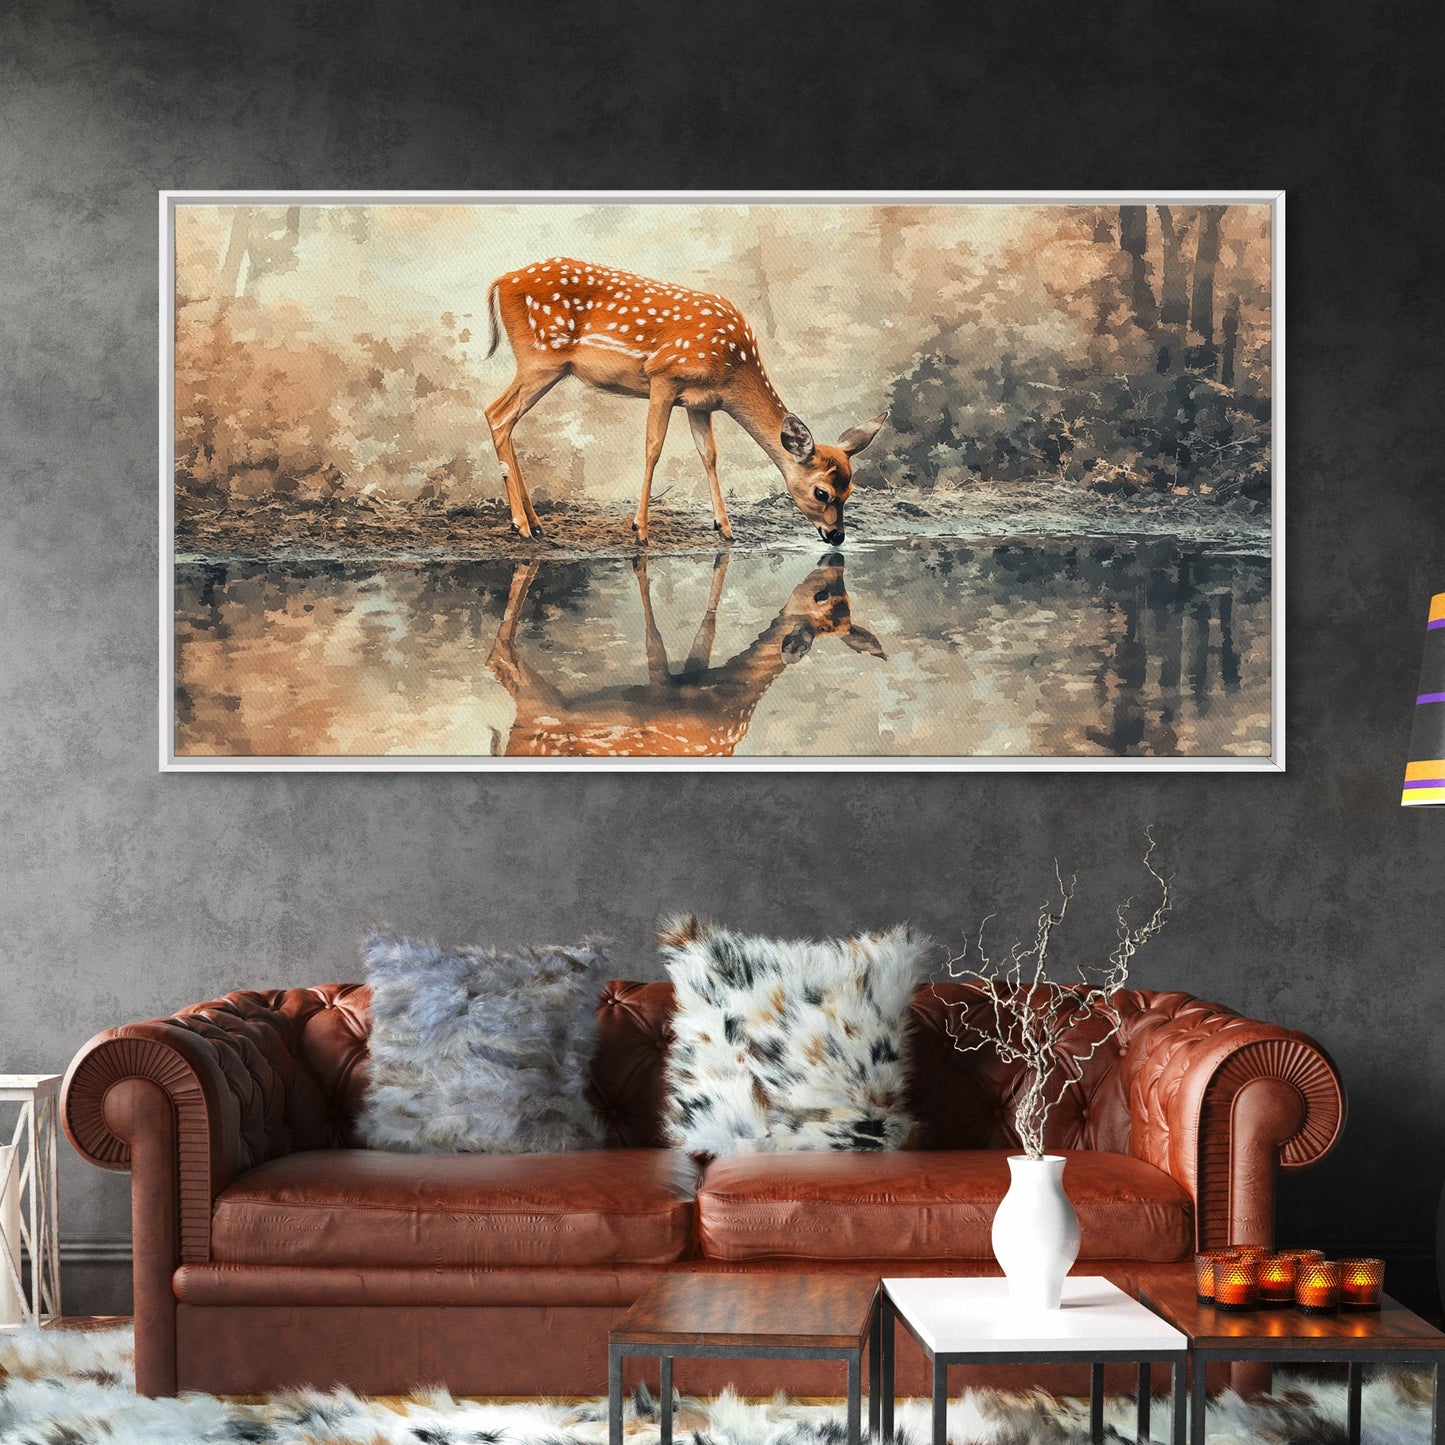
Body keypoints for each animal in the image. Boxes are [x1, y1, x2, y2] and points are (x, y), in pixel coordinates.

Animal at [484, 257, 887, 544]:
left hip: (547, 366)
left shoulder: (700, 404)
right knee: (497, 414)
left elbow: (709, 455)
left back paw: (535, 523)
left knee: (504, 417)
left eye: (850, 490)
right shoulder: (664, 375)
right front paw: (641, 530)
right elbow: (653, 447)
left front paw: (725, 528)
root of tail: (500, 280)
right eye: (822, 492)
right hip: (541, 358)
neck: (733, 367)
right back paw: (521, 526)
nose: (837, 536)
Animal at [485, 552, 885, 757]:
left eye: (845, 594)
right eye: (823, 596)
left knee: (499, 660)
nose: (834, 555)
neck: (728, 694)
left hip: (541, 712)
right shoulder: (663, 695)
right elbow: (657, 637)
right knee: (500, 659)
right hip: (541, 716)